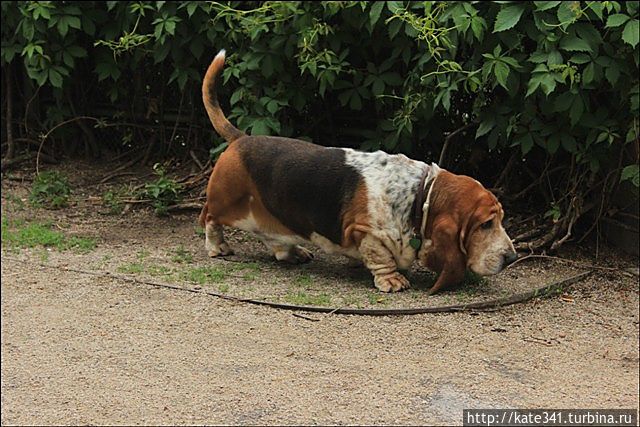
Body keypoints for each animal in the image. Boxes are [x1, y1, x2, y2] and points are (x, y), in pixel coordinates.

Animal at [198, 50, 516, 296]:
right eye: (486, 224)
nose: (512, 257)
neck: (420, 194)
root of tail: (240, 139)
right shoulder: (365, 231)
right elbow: (380, 257)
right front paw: (392, 280)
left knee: (274, 241)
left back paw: (293, 252)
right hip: (227, 204)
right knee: (209, 218)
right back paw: (218, 247)